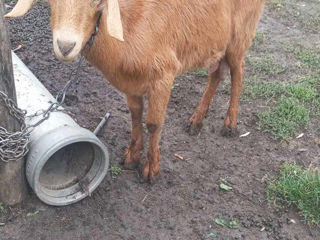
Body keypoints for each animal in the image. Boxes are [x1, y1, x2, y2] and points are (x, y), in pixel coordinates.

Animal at [7, 0, 266, 182]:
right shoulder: (131, 83)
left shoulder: (163, 74)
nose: (65, 46)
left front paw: (150, 169)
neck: (127, 29)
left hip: (241, 32)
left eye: (96, 1)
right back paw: (196, 120)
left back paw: (230, 123)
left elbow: (153, 123)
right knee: (216, 73)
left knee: (238, 71)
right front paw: (132, 156)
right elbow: (134, 114)